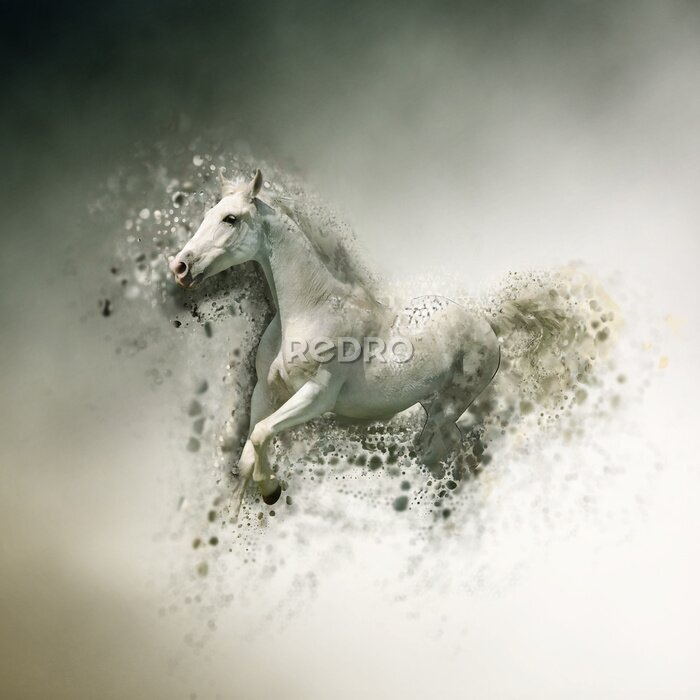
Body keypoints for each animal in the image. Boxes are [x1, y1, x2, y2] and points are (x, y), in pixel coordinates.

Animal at [170, 169, 500, 513]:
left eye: (230, 218)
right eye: (208, 214)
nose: (179, 267)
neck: (310, 310)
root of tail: (485, 327)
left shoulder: (316, 396)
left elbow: (261, 434)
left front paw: (271, 489)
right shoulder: (264, 392)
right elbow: (247, 456)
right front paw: (236, 515)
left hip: (448, 406)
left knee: (434, 444)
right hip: (431, 400)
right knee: (450, 444)